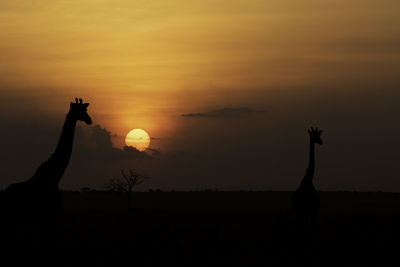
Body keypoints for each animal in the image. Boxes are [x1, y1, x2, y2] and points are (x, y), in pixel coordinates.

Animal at [1, 98, 92, 251]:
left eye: (85, 110)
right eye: (81, 110)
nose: (89, 120)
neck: (55, 175)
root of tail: (4, 194)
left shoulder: (48, 216)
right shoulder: (49, 214)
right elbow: (46, 242)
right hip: (10, 218)